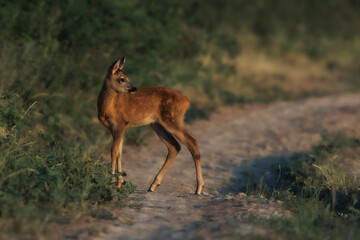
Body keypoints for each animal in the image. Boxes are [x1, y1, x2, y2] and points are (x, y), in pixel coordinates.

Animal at [98, 56, 204, 195]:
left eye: (127, 77)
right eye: (122, 79)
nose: (134, 88)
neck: (108, 107)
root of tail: (186, 100)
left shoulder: (120, 124)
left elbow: (114, 151)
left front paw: (110, 182)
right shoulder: (117, 128)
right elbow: (119, 152)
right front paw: (119, 183)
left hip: (173, 120)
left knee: (193, 142)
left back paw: (199, 188)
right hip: (157, 124)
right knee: (174, 146)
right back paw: (153, 185)